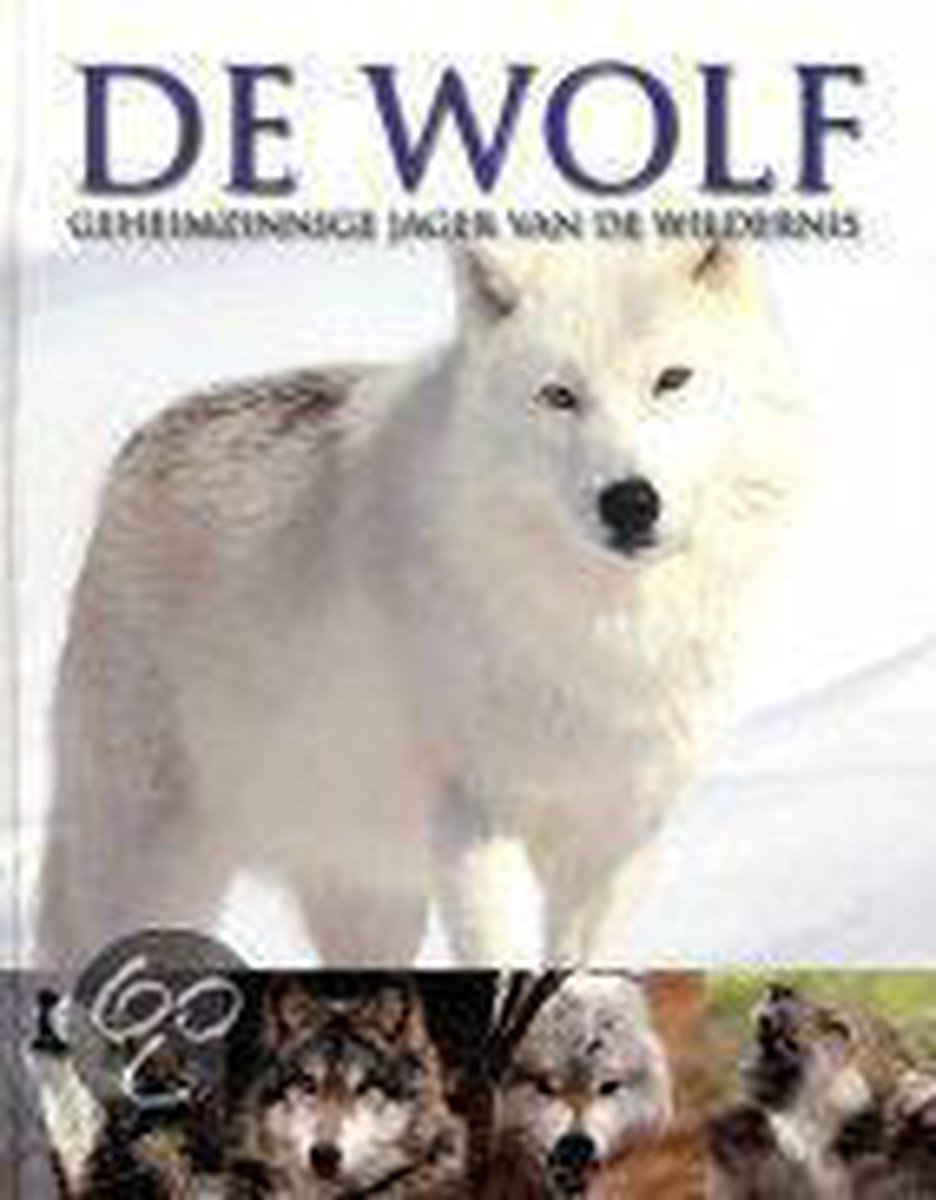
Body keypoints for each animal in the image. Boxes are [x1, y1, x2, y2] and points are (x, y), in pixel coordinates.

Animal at [36, 240, 805, 967]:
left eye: (672, 379)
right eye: (558, 395)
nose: (629, 501)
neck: (605, 630)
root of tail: (136, 447)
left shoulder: (619, 833)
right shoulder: (475, 818)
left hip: (370, 895)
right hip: (156, 875)